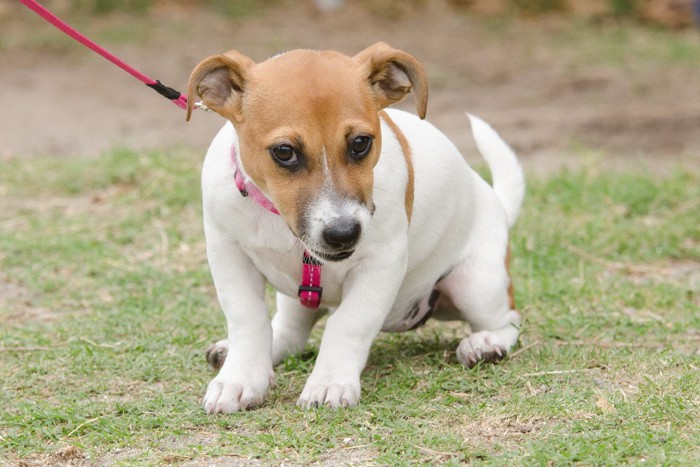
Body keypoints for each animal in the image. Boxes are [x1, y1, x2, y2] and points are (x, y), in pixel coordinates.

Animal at [186, 41, 524, 414]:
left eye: (361, 143)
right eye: (284, 151)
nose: (343, 233)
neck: (278, 218)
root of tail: (496, 203)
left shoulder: (380, 265)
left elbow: (348, 324)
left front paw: (329, 382)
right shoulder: (228, 254)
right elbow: (248, 319)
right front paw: (240, 379)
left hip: (476, 283)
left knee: (508, 320)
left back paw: (485, 344)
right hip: (295, 298)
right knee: (290, 331)